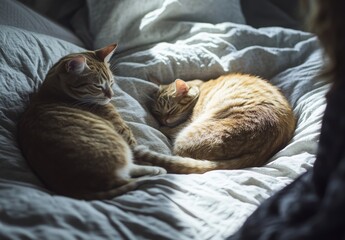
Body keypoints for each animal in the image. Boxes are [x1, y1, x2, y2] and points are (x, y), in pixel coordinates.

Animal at [17, 44, 165, 200]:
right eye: (98, 86)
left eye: (111, 82)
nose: (111, 95)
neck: (52, 92)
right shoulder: (125, 134)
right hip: (119, 146)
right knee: (130, 171)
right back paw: (156, 170)